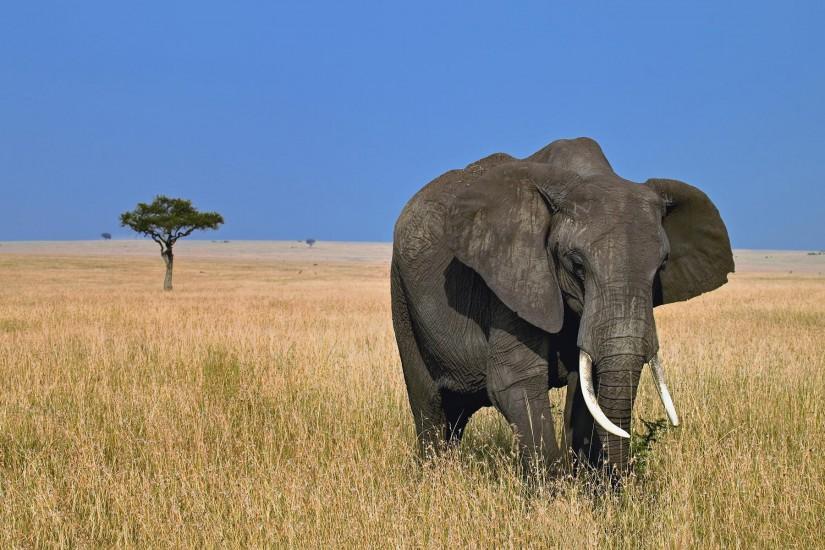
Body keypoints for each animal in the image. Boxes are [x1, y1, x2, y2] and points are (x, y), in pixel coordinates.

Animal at [390, 137, 733, 479]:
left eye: (661, 266)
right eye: (577, 265)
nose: (621, 480)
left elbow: (585, 389)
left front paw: (586, 486)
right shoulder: (514, 275)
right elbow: (515, 379)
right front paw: (552, 490)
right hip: (402, 295)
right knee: (430, 404)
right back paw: (434, 475)